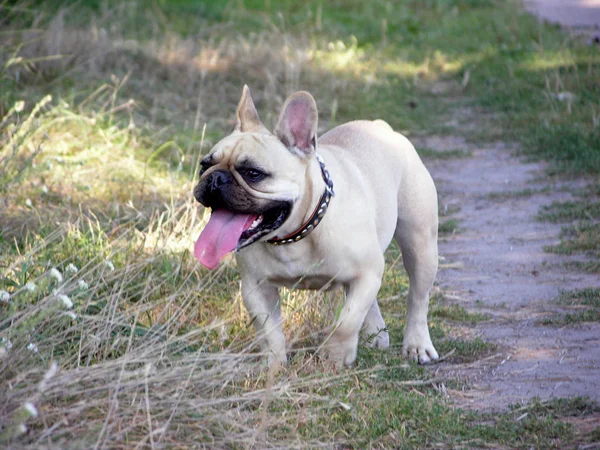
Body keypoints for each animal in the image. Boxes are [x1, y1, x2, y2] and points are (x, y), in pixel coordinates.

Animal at [195, 85, 438, 366]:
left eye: (253, 173)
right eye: (204, 165)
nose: (215, 178)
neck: (294, 236)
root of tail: (381, 126)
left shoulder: (365, 273)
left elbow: (346, 322)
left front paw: (336, 358)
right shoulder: (255, 287)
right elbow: (269, 332)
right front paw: (274, 367)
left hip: (420, 245)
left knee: (418, 298)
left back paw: (417, 345)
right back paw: (375, 332)